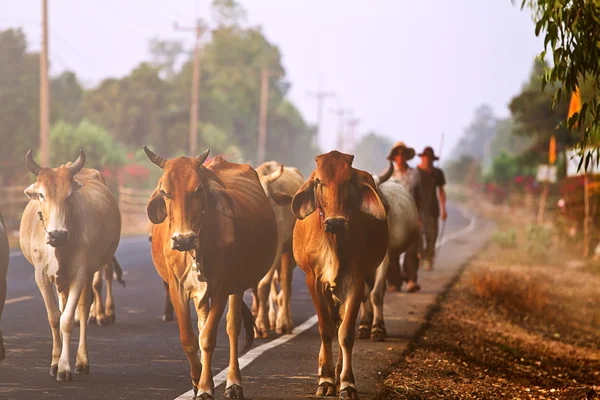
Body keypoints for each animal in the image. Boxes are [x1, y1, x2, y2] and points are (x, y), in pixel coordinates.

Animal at [19, 151, 121, 382]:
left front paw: (65, 367)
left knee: (83, 309)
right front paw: (55, 363)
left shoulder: (79, 274)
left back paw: (83, 360)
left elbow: (67, 320)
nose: (57, 235)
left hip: (91, 270)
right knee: (64, 304)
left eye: (69, 196)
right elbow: (54, 317)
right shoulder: (41, 276)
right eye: (42, 195)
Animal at [144, 148, 278, 400]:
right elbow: (190, 338)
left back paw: (234, 383)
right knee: (203, 323)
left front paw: (206, 387)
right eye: (165, 192)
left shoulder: (222, 288)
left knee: (232, 328)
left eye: (198, 190)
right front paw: (197, 382)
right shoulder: (177, 288)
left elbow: (208, 338)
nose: (183, 239)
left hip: (237, 286)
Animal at [252, 161, 304, 336]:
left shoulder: (276, 251)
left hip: (287, 251)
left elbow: (263, 286)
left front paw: (262, 324)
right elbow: (254, 287)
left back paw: (284, 322)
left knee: (286, 283)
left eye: (266, 198)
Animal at [292, 150, 390, 396]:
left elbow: (345, 333)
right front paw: (325, 379)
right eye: (319, 181)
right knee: (331, 321)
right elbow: (326, 329)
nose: (335, 221)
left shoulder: (356, 280)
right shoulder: (314, 280)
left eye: (348, 181)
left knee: (340, 321)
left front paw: (346, 382)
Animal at [356, 162, 418, 340]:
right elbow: (364, 294)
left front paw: (377, 329)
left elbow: (376, 294)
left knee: (380, 290)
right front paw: (364, 326)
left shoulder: (384, 260)